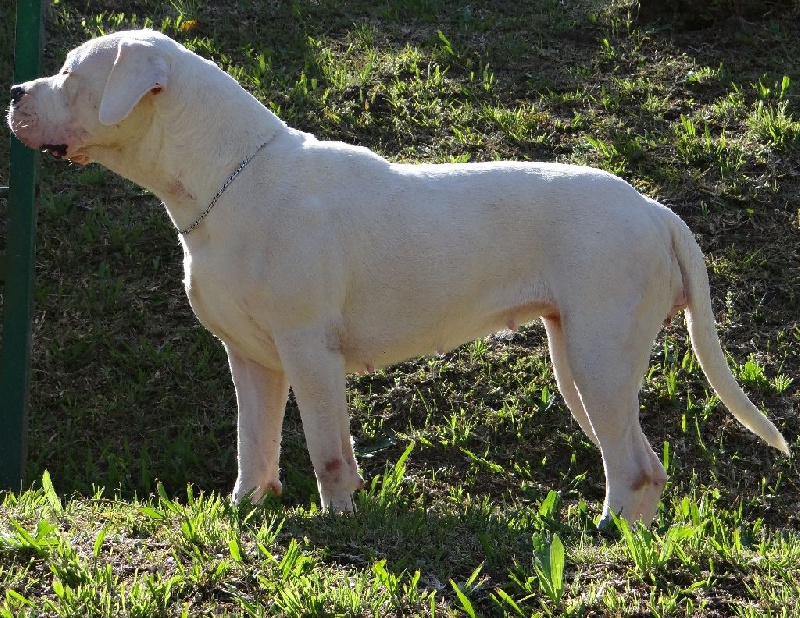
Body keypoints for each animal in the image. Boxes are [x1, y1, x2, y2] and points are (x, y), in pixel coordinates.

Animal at [9, 28, 792, 524]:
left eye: (72, 73)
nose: (15, 89)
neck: (228, 177)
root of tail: (653, 208)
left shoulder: (309, 353)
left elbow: (328, 452)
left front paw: (337, 525)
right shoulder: (255, 361)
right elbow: (253, 446)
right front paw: (246, 512)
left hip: (598, 357)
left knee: (634, 465)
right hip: (575, 358)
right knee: (638, 465)